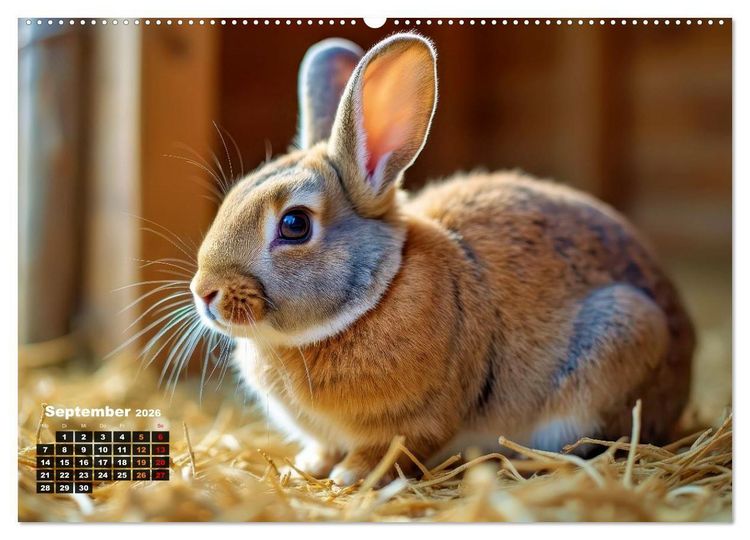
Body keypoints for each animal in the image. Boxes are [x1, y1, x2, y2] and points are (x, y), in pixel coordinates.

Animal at [189, 33, 695, 486]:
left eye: (295, 225)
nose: (205, 292)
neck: (378, 290)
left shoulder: (416, 422)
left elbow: (391, 449)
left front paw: (350, 475)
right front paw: (308, 468)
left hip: (623, 331)